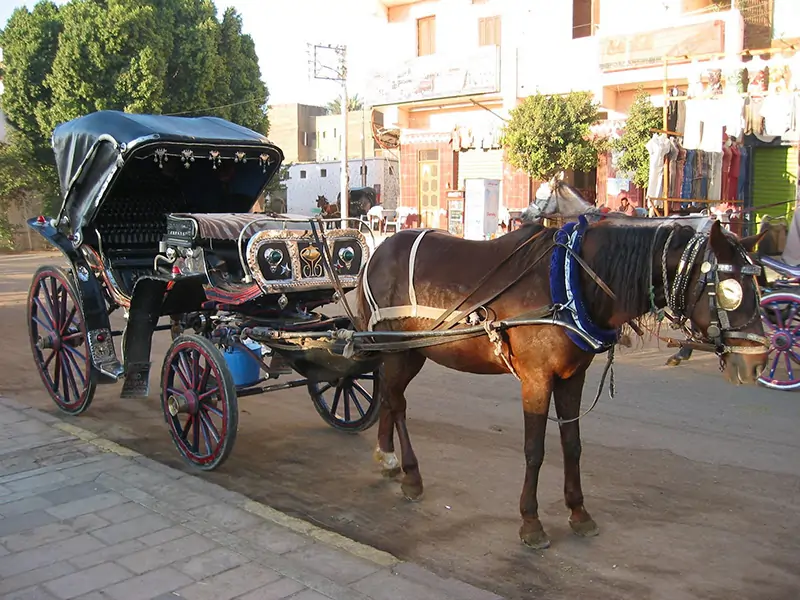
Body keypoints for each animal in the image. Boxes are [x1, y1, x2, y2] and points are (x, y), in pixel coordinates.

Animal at [357, 216, 768, 550]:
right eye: (729, 291)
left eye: (759, 286)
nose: (758, 362)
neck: (573, 283)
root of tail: (379, 253)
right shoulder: (537, 379)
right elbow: (534, 450)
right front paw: (531, 522)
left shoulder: (573, 377)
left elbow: (572, 445)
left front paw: (579, 512)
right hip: (398, 350)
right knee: (397, 402)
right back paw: (410, 474)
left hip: (409, 351)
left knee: (389, 397)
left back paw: (387, 456)